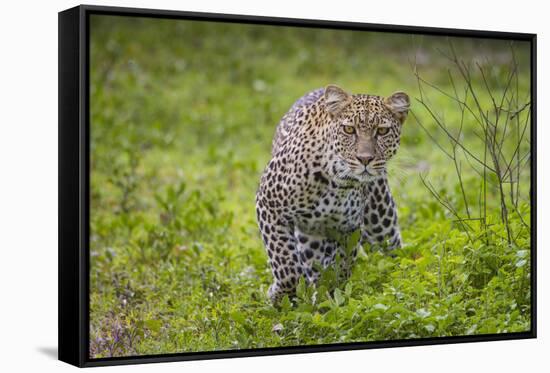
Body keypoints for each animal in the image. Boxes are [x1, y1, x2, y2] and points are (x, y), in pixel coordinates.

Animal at [256, 84, 410, 302]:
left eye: (382, 131)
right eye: (349, 129)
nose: (365, 159)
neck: (338, 182)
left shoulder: (348, 228)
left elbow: (341, 268)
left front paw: (329, 296)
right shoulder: (269, 205)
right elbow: (286, 266)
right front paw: (279, 296)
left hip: (381, 221)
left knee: (392, 250)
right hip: (310, 234)